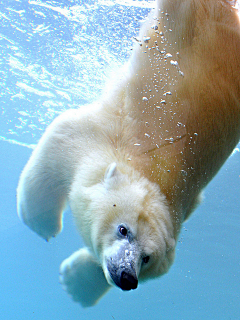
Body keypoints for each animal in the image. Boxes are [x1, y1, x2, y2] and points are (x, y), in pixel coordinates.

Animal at [16, 0, 240, 308]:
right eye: (123, 229)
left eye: (147, 258)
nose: (127, 277)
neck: (158, 169)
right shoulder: (104, 133)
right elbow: (61, 137)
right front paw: (42, 223)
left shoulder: (186, 203)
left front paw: (76, 283)